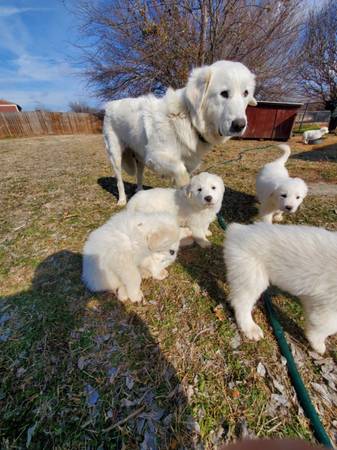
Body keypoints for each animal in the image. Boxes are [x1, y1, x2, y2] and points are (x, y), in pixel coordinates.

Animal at [102, 60, 255, 205]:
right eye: (224, 94)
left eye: (245, 93)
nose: (240, 125)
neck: (189, 118)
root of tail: (110, 104)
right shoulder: (155, 157)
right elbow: (181, 172)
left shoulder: (189, 163)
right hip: (116, 156)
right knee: (119, 181)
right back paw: (122, 200)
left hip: (140, 158)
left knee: (139, 175)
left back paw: (139, 191)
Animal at [223, 222, 336, 356]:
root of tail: (237, 230)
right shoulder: (329, 305)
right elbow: (327, 326)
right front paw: (318, 344)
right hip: (253, 277)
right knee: (241, 304)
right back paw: (250, 328)